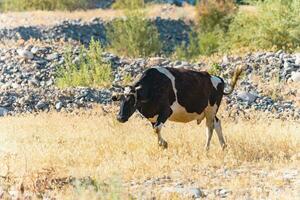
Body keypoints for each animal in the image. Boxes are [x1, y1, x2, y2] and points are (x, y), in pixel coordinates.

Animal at [111, 66, 243, 151]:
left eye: (131, 100)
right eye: (120, 100)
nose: (120, 117)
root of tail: (217, 78)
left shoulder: (166, 111)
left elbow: (157, 128)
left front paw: (164, 144)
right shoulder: (153, 116)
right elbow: (155, 129)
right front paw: (160, 145)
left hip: (211, 109)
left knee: (210, 127)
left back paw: (206, 148)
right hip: (209, 111)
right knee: (217, 123)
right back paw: (223, 146)